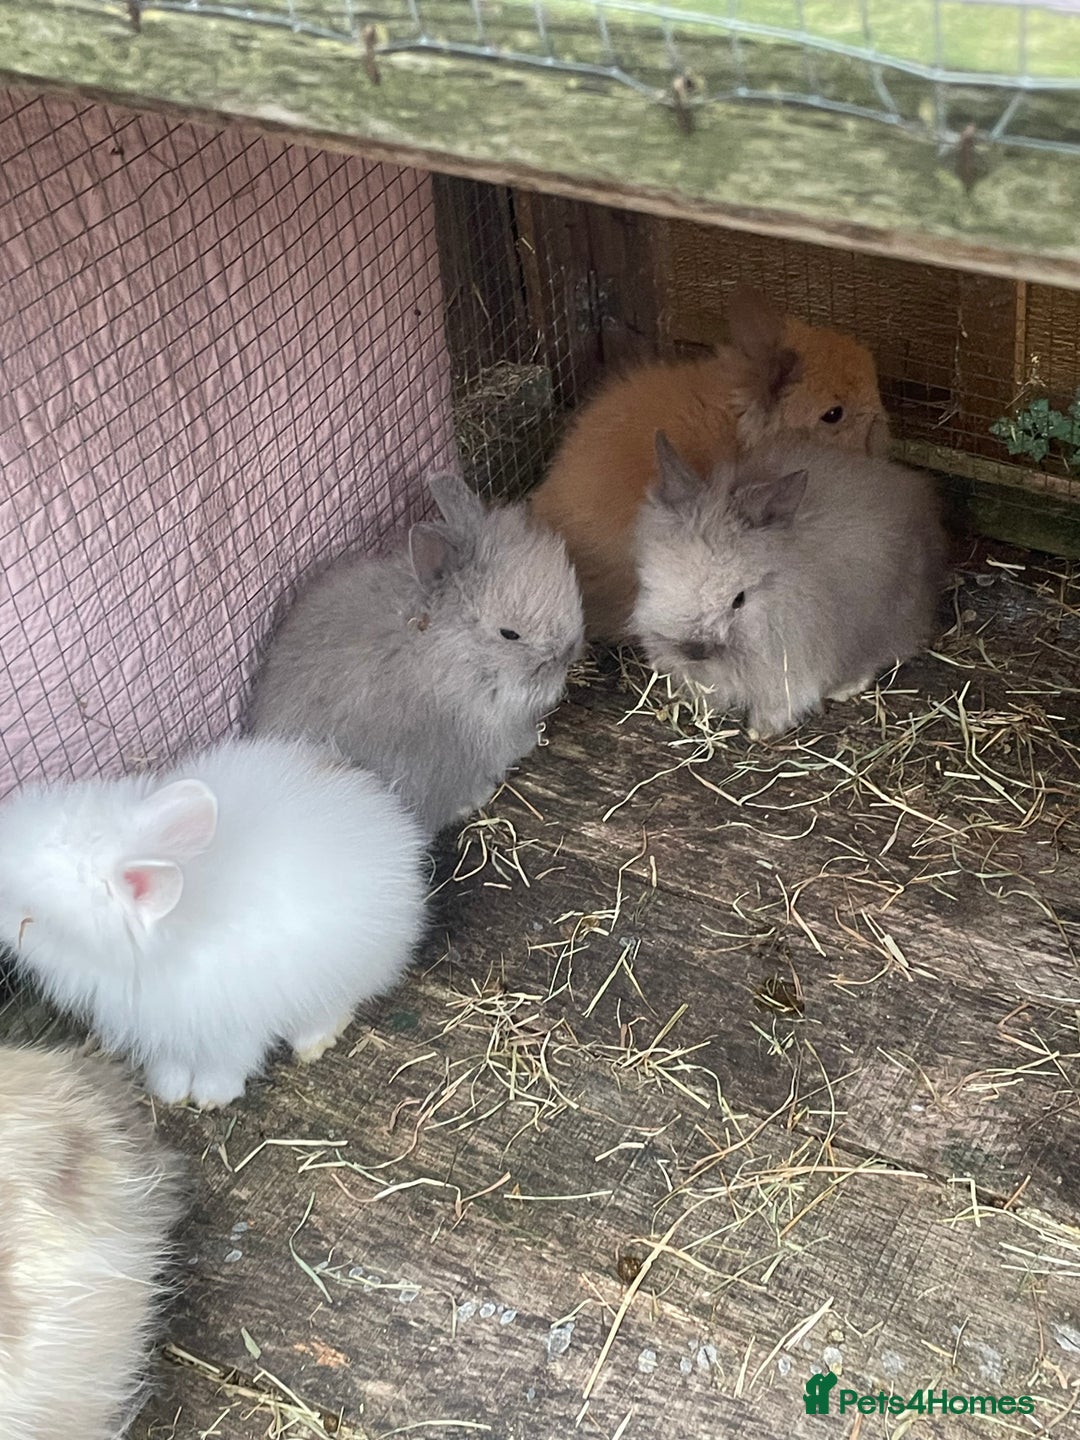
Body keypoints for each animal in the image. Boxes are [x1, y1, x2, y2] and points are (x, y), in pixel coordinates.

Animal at [0, 736, 428, 1108]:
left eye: (30, 918)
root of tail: (379, 804)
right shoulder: (166, 1031)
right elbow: (172, 1062)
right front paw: (170, 1091)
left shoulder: (234, 1027)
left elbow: (227, 1063)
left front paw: (211, 1096)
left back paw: (313, 1042)